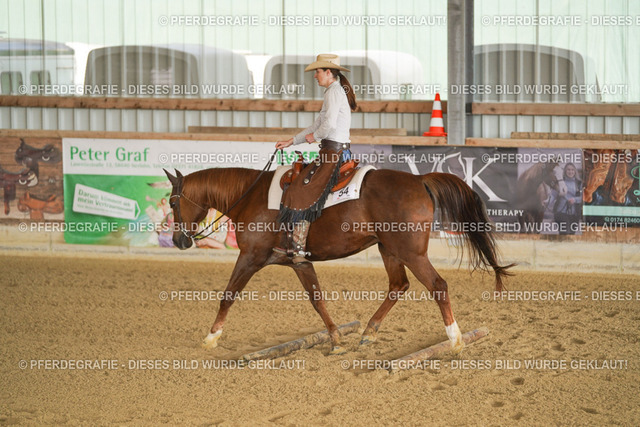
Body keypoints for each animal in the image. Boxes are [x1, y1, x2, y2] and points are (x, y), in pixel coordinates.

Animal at [164, 166, 513, 355]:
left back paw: (455, 339)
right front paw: (334, 339)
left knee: (437, 285)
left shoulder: (250, 257)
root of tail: (419, 180)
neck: (251, 198)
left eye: (172, 202)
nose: (179, 241)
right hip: (389, 249)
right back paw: (369, 332)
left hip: (411, 252)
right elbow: (317, 299)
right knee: (398, 286)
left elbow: (228, 295)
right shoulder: (299, 262)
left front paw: (211, 338)